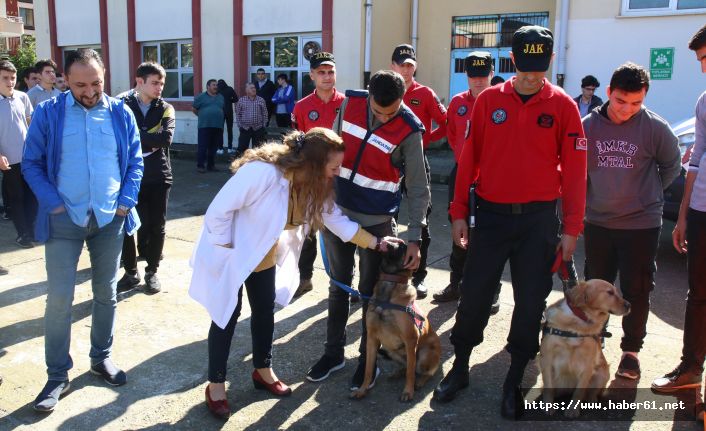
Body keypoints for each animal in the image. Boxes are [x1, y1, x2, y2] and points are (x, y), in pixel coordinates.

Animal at [350, 243, 442, 402]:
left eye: (403, 247)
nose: (386, 243)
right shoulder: (372, 339)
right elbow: (368, 369)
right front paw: (362, 390)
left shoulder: (411, 340)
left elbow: (410, 373)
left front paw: (408, 391)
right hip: (389, 349)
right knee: (407, 367)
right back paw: (398, 373)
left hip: (424, 354)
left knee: (425, 372)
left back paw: (419, 382)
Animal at [536, 280, 628, 418]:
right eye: (610, 292)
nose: (629, 305)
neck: (579, 322)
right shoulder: (546, 359)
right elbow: (548, 387)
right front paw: (548, 406)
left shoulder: (588, 365)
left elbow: (578, 392)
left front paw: (573, 409)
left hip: (603, 373)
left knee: (591, 393)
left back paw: (592, 401)